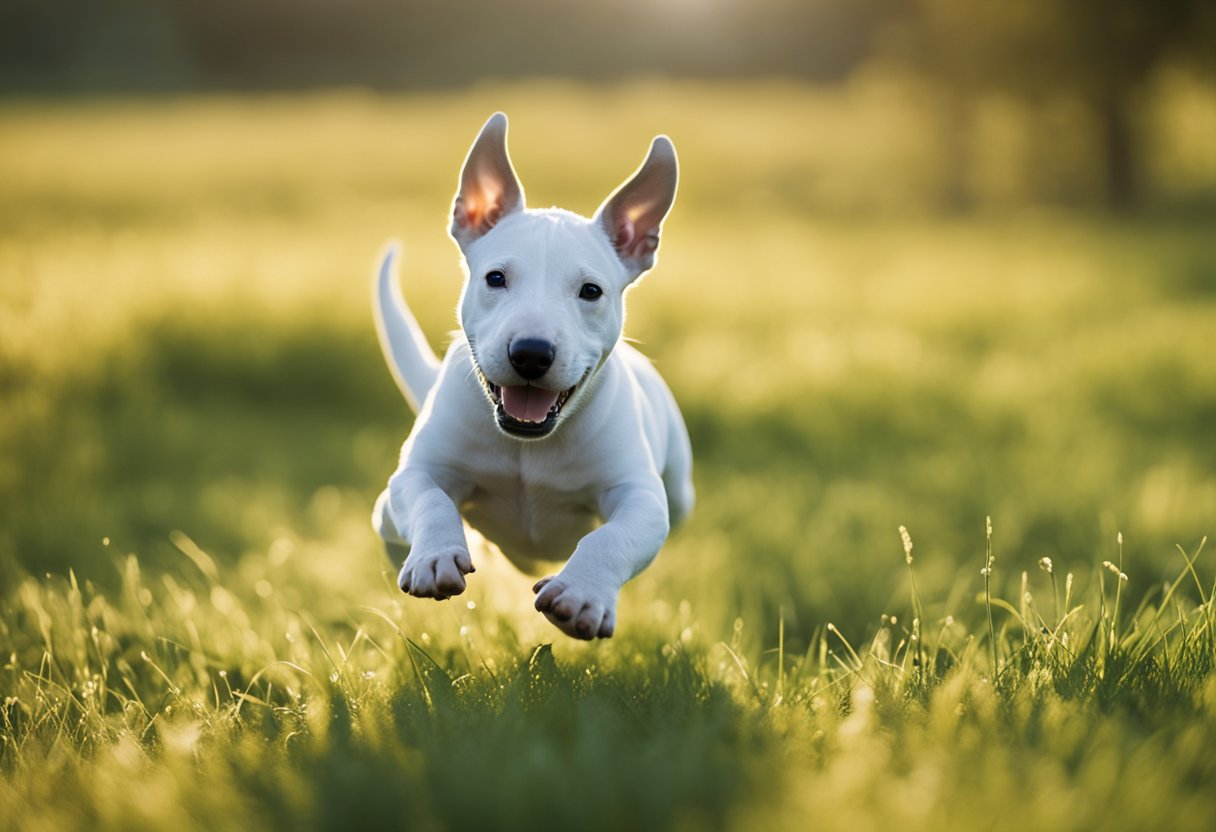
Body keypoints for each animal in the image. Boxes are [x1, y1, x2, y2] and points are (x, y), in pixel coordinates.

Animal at [369, 113, 695, 642]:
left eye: (591, 291)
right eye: (495, 278)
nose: (530, 354)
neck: (527, 445)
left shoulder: (641, 496)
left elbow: (612, 535)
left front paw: (582, 596)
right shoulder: (418, 471)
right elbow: (429, 498)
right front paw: (435, 557)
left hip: (681, 489)